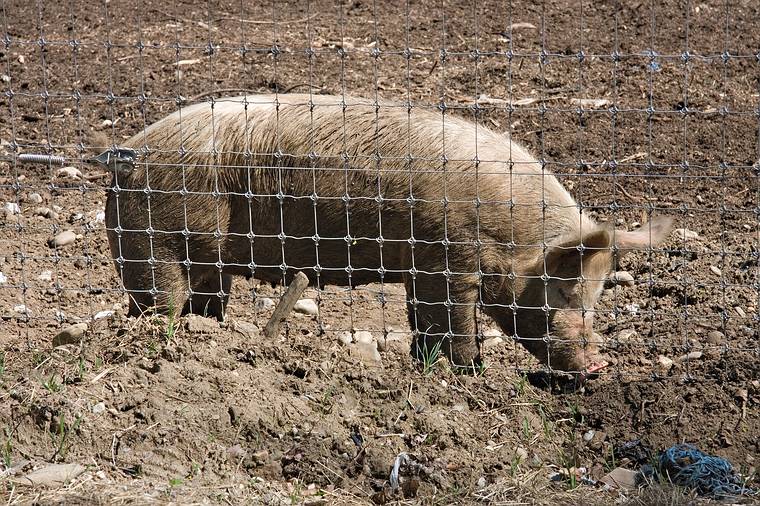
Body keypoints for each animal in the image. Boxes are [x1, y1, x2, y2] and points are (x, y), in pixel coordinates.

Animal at [102, 94, 672, 372]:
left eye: (596, 295)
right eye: (565, 290)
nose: (597, 365)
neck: (515, 234)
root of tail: (127, 156)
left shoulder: (422, 268)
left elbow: (423, 323)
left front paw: (427, 369)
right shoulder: (450, 261)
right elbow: (455, 325)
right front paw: (469, 375)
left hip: (204, 262)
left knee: (205, 301)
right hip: (155, 241)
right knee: (159, 302)